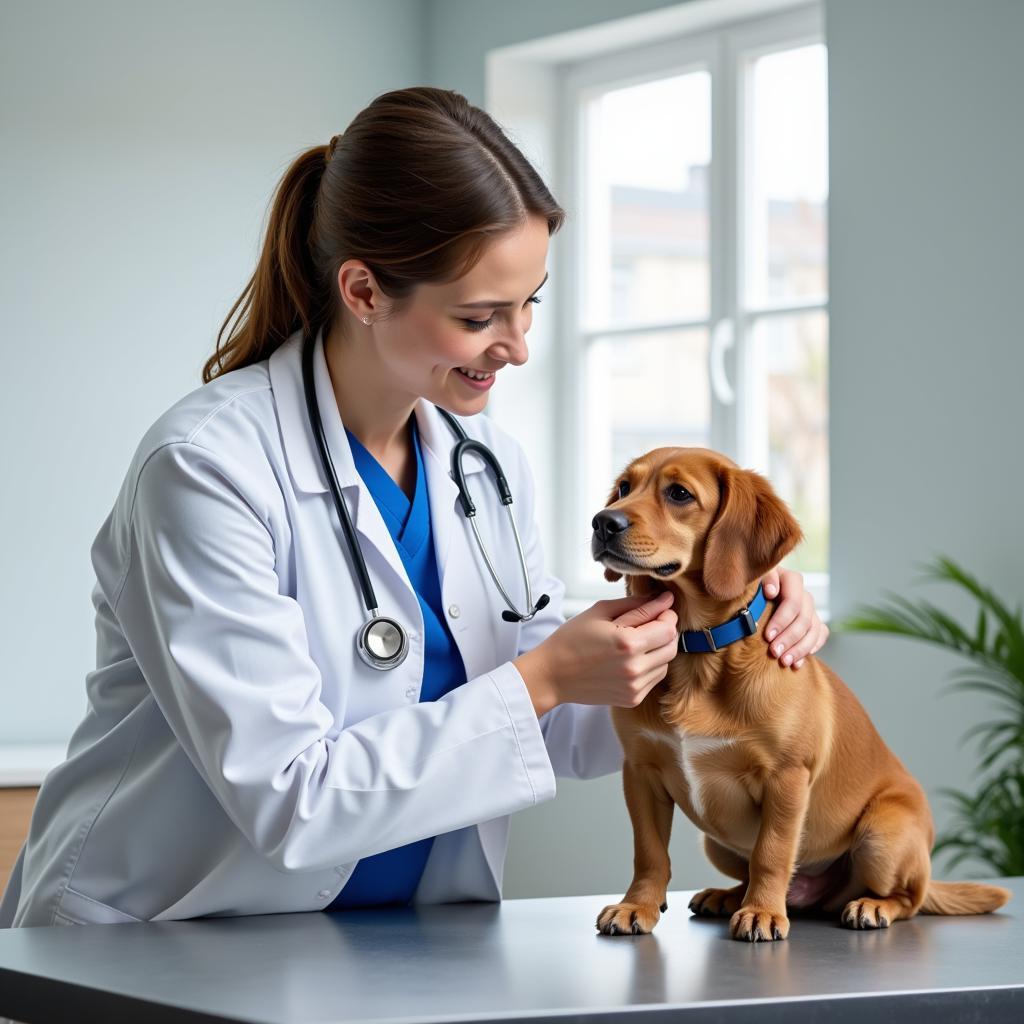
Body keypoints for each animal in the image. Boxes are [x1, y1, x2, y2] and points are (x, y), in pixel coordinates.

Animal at [593, 444, 1007, 937]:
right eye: (624, 488)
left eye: (679, 494)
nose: (602, 522)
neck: (698, 650)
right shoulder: (641, 771)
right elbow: (650, 852)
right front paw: (637, 905)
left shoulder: (787, 777)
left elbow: (772, 852)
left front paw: (762, 912)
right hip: (715, 842)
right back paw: (728, 896)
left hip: (883, 835)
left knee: (911, 897)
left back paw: (870, 906)